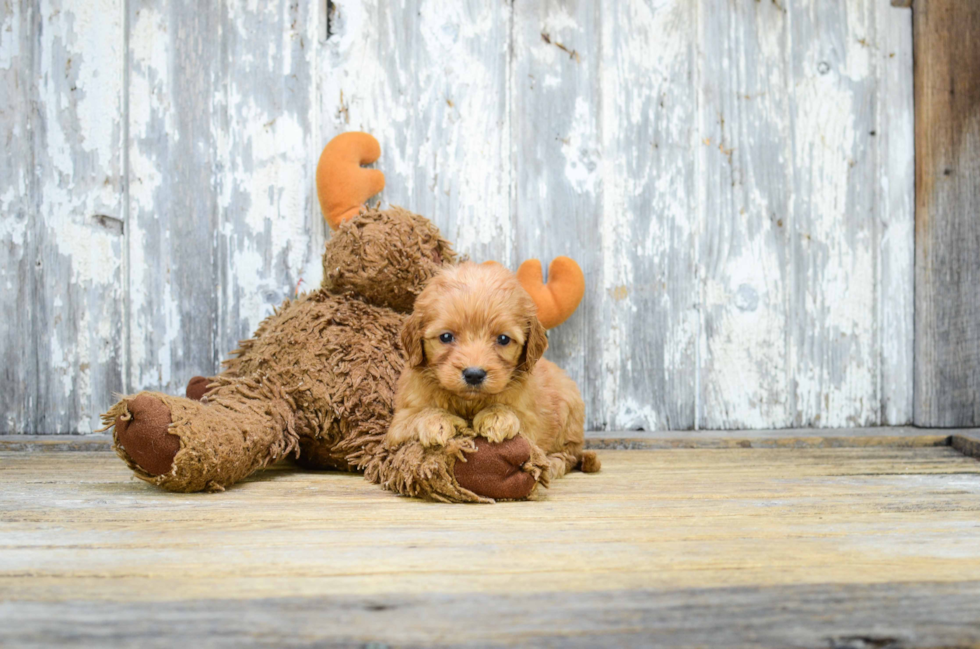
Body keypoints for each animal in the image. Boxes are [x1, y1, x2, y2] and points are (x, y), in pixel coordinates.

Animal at [386, 260, 600, 478]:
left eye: (503, 339)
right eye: (446, 337)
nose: (474, 374)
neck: (468, 402)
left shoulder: (532, 420)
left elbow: (519, 419)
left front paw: (497, 416)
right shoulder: (397, 425)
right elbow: (415, 417)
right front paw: (437, 420)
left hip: (570, 412)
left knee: (569, 454)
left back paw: (552, 464)